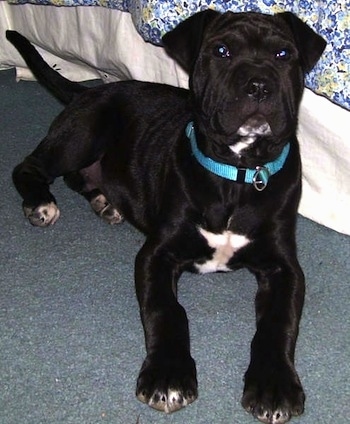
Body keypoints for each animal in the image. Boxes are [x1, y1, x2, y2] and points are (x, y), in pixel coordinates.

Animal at [6, 9, 326, 424]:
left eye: (284, 54)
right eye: (221, 51)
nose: (258, 85)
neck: (239, 174)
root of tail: (88, 89)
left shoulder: (284, 267)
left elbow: (279, 321)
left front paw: (275, 386)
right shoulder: (157, 254)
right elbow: (167, 310)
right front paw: (168, 376)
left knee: (81, 177)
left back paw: (104, 202)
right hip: (84, 132)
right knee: (30, 167)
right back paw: (41, 203)